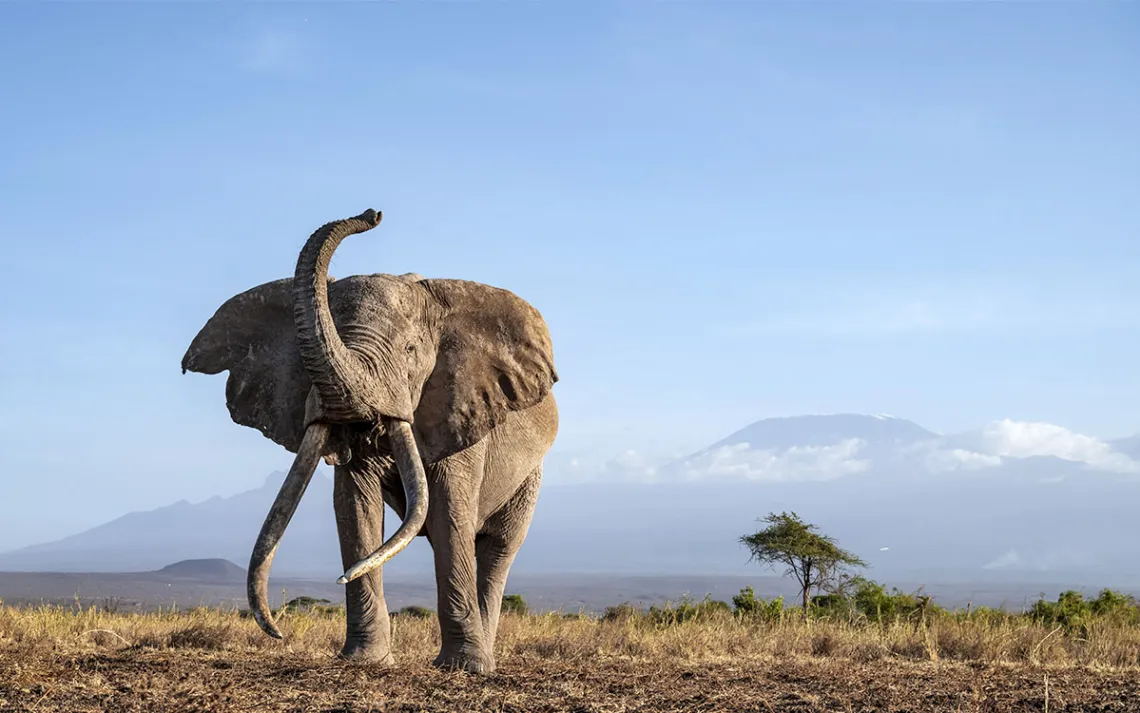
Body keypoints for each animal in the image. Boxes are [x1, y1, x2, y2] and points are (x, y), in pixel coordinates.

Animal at [181, 208, 558, 673]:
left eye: (411, 350)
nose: (371, 215)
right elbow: (355, 505)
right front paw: (366, 660)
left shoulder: (463, 411)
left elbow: (449, 514)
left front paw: (463, 668)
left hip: (530, 476)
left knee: (498, 546)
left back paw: (483, 658)